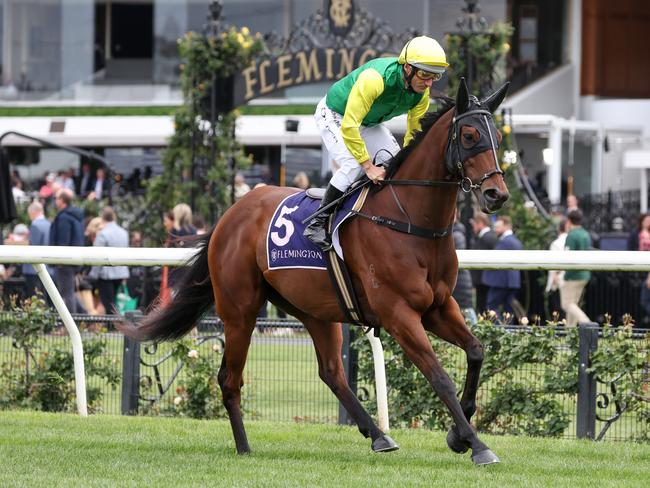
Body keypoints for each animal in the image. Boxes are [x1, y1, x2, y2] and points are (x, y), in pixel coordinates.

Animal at [119, 79, 508, 466]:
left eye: (498, 138)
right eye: (470, 135)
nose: (496, 194)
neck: (410, 222)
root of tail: (230, 214)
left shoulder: (438, 307)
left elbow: (476, 351)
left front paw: (458, 433)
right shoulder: (399, 314)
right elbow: (439, 376)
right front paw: (476, 444)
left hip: (316, 310)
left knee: (332, 372)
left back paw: (379, 435)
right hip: (239, 311)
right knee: (230, 379)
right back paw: (244, 447)